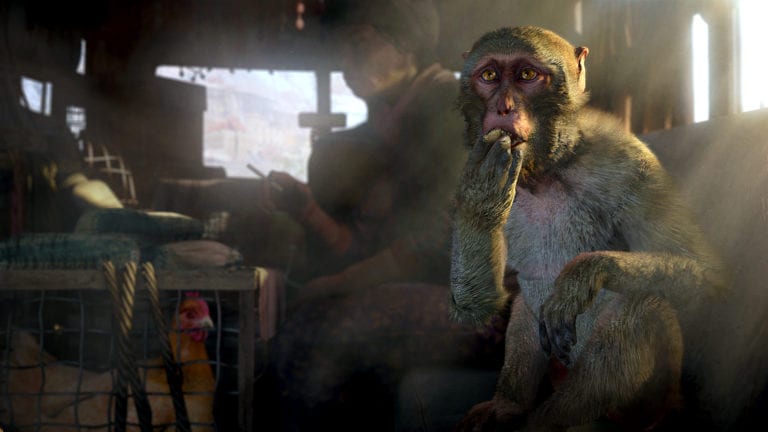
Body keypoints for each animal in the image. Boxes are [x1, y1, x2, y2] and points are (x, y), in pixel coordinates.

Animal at [449, 26, 727, 431]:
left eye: (527, 75)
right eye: (489, 76)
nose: (503, 108)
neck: (547, 172)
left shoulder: (629, 164)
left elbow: (707, 275)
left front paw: (585, 273)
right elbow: (482, 305)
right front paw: (479, 203)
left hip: (653, 401)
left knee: (641, 306)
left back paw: (550, 421)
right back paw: (511, 405)